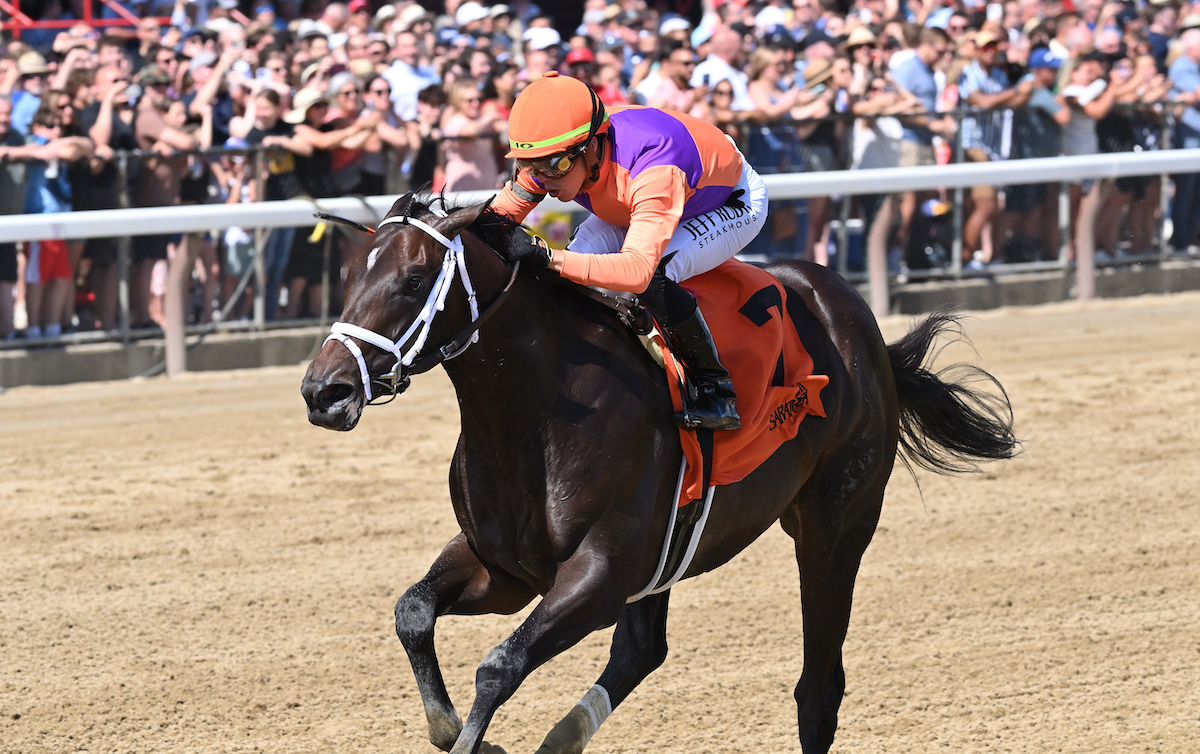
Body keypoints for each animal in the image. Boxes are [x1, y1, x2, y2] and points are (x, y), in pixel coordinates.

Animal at [300, 195, 1012, 754]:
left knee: (818, 687)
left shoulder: (600, 575)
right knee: (643, 649)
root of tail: (858, 323)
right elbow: (412, 611)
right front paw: (451, 729)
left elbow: (500, 666)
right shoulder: (504, 567)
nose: (323, 391)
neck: (534, 416)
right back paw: (561, 741)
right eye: (347, 275)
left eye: (415, 279)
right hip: (671, 550)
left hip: (836, 524)